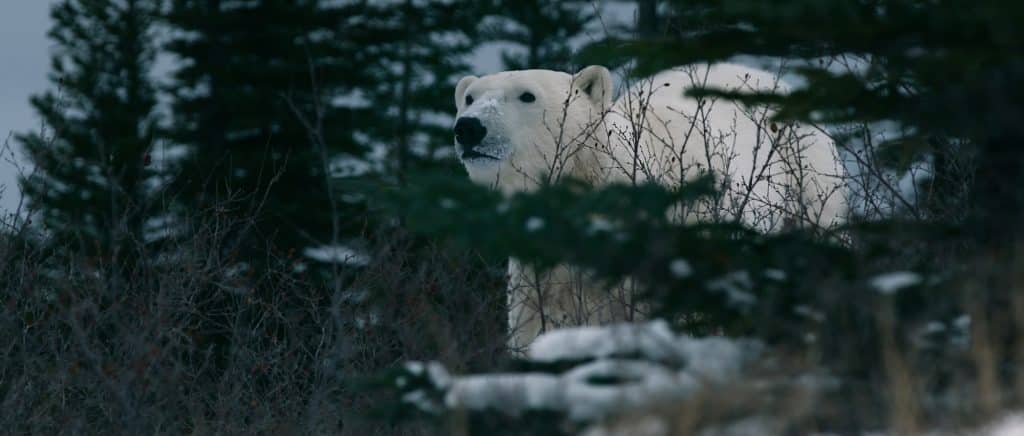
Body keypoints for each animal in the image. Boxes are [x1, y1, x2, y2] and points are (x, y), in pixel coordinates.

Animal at [452, 63, 846, 352]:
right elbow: (537, 323)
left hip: (807, 178)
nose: (468, 127)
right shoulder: (542, 268)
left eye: (527, 95)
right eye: (469, 97)